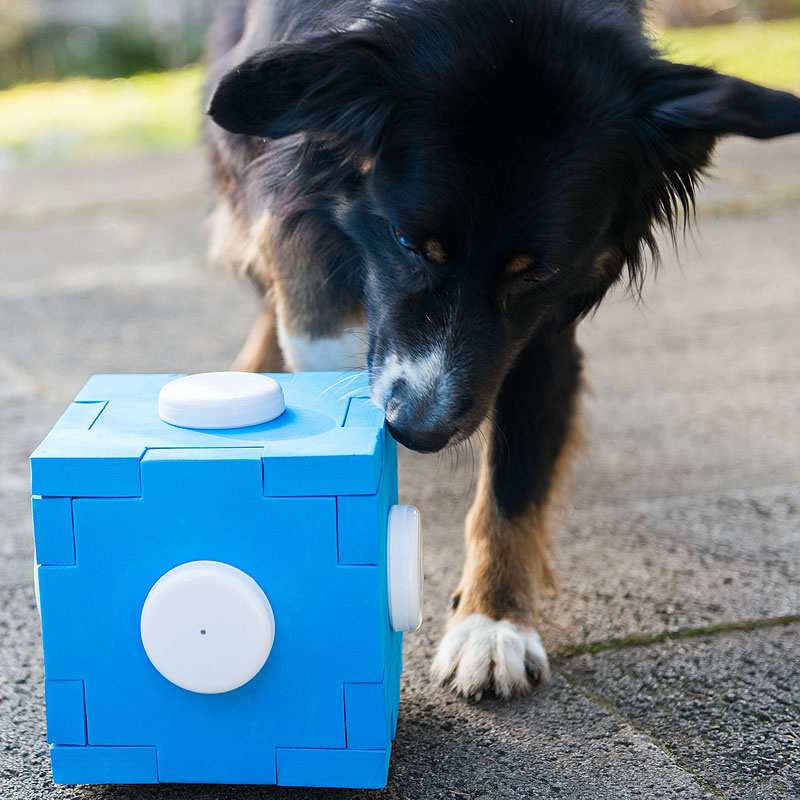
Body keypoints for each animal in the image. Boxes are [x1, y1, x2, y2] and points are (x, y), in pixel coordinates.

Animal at [205, 0, 800, 700]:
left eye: (534, 273)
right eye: (406, 242)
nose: (418, 433)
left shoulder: (546, 318)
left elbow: (517, 477)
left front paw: (493, 626)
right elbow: (294, 254)